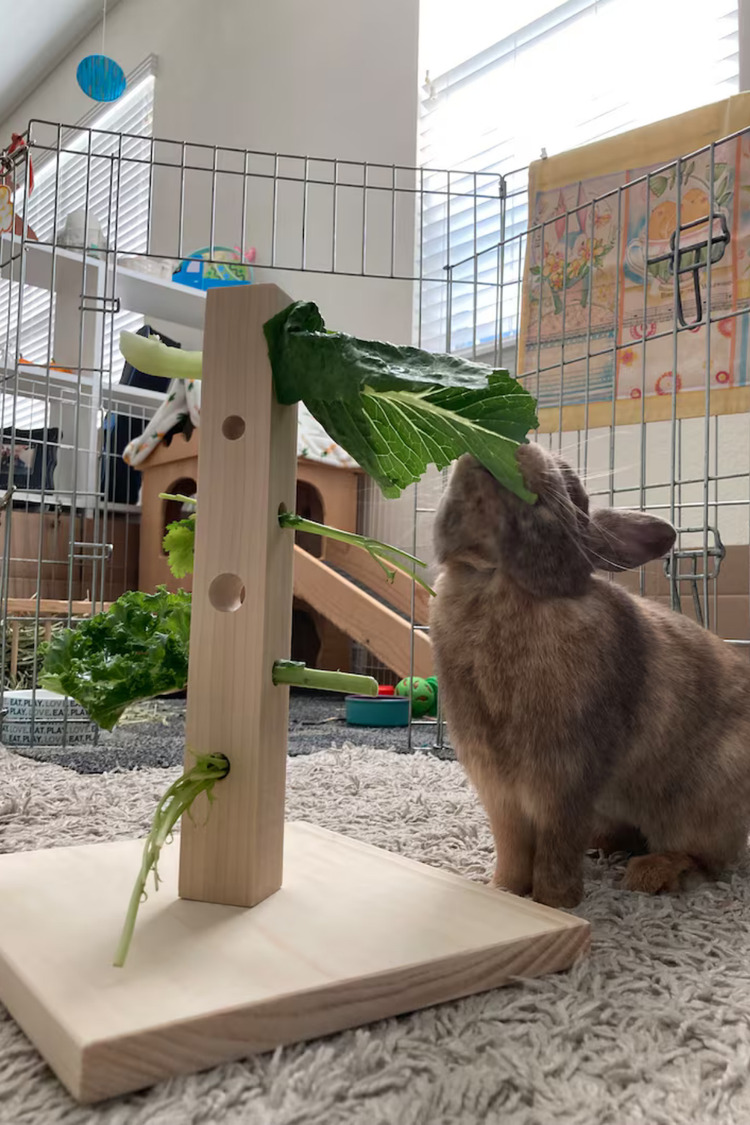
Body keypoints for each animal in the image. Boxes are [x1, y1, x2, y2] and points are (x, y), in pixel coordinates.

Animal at [430, 442, 750, 909]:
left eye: (572, 487)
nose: (519, 445)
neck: (500, 582)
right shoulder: (496, 785)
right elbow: (511, 846)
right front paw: (502, 891)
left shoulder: (565, 778)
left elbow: (555, 847)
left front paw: (555, 902)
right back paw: (603, 849)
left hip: (700, 804)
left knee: (706, 860)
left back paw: (649, 875)